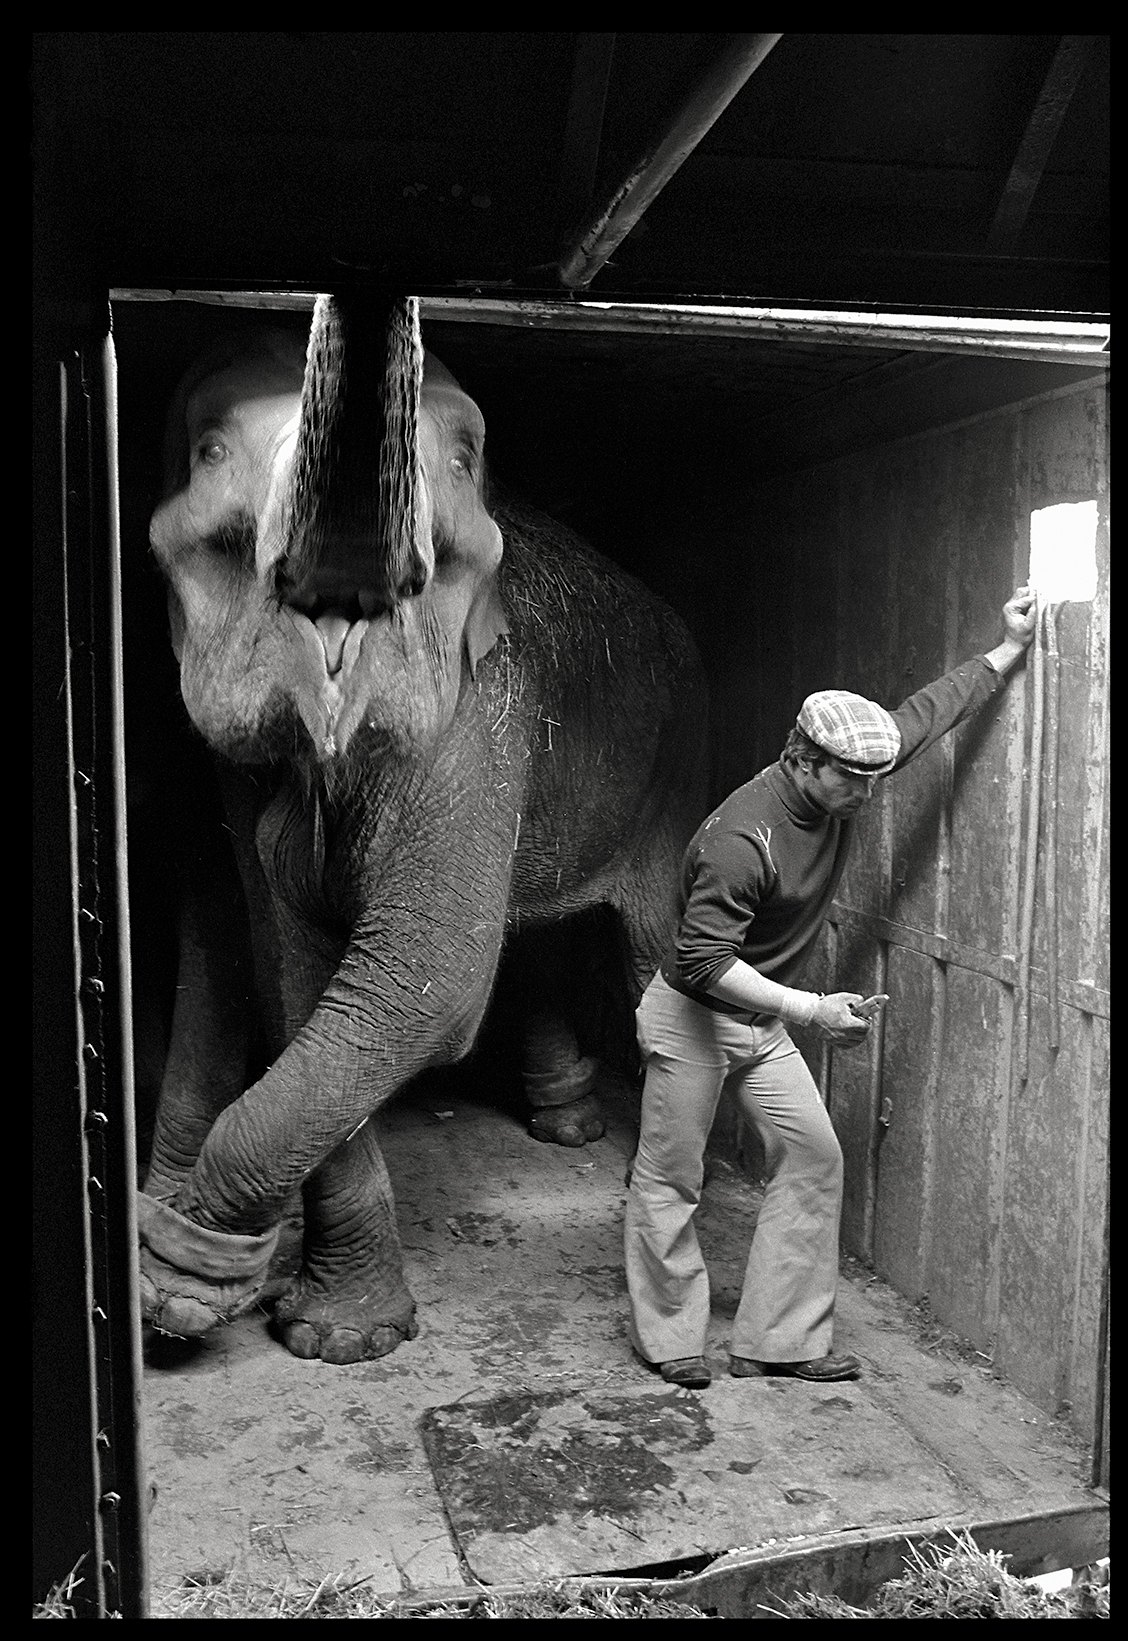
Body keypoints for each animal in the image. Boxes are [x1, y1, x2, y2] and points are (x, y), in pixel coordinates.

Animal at [137, 295, 708, 1363]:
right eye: (208, 450)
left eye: (462, 456)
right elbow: (298, 966)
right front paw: (322, 1333)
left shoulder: (480, 714)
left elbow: (429, 985)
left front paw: (183, 1287)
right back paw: (567, 1125)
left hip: (676, 769)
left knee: (658, 951)